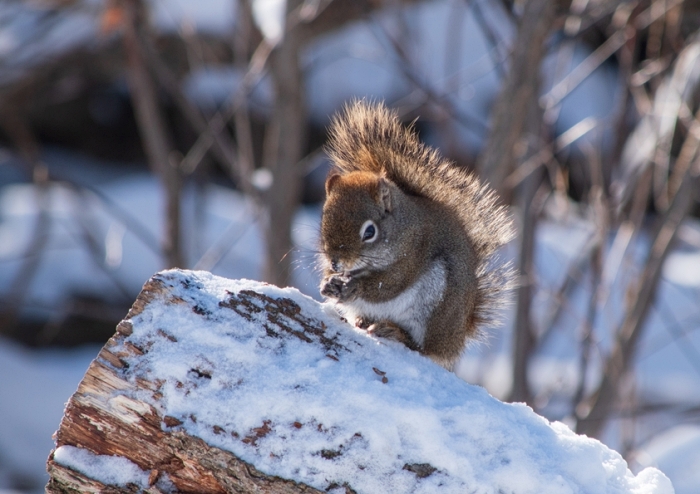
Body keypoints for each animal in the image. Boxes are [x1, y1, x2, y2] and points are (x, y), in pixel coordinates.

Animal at [318, 101, 516, 370]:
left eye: (369, 231)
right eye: (324, 218)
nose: (337, 262)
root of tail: (456, 338)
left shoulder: (415, 250)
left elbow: (389, 285)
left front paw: (355, 286)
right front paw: (328, 282)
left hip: (436, 308)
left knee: (423, 349)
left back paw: (396, 333)